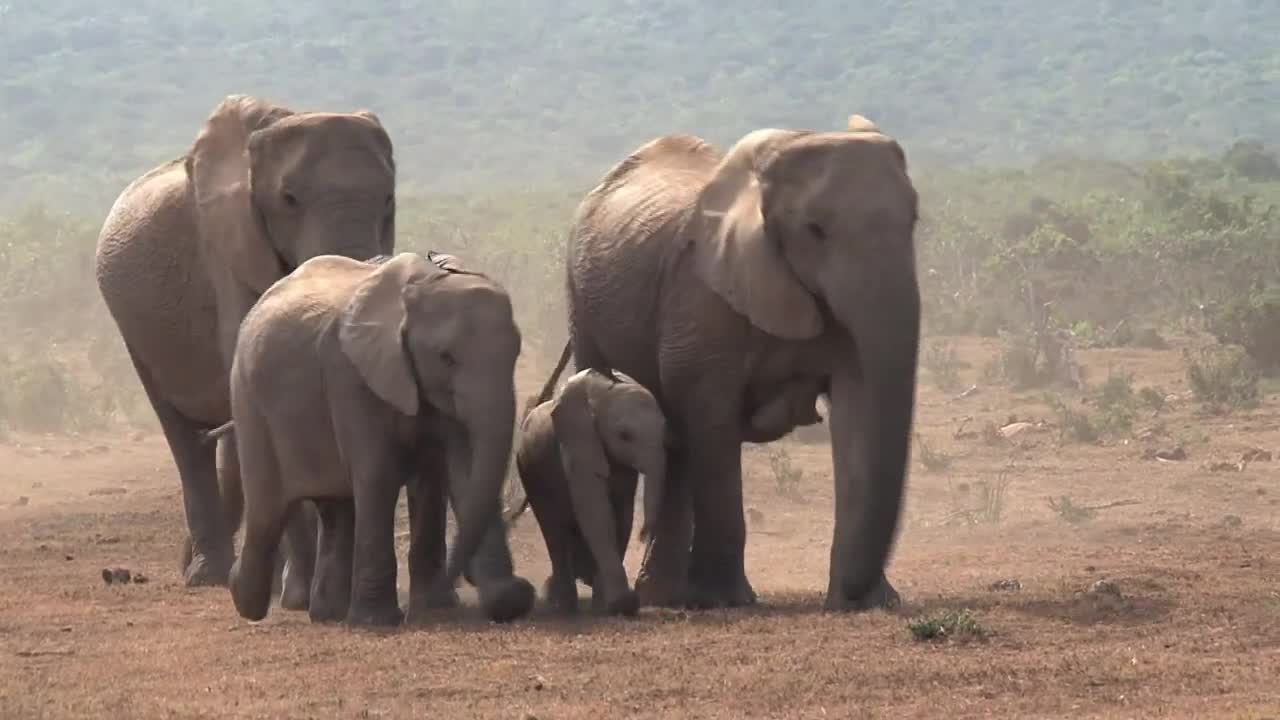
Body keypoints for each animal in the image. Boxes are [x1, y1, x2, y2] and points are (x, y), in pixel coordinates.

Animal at [217, 250, 535, 626]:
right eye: (446, 357)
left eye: (516, 352)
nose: (458, 579)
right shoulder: (350, 375)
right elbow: (378, 474)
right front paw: (377, 622)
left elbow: (462, 470)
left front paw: (501, 601)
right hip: (247, 401)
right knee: (268, 510)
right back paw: (245, 597)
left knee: (336, 509)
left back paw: (327, 614)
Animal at [510, 368, 669, 617]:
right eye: (624, 435)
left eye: (664, 430)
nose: (643, 536)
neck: (603, 394)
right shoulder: (577, 445)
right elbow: (596, 510)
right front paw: (621, 604)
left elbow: (622, 515)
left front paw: (605, 605)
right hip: (530, 473)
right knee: (553, 532)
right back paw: (563, 607)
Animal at [535, 114, 921, 611]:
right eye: (815, 230)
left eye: (914, 221)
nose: (855, 593)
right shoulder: (702, 298)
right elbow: (709, 414)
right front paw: (725, 599)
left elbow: (858, 406)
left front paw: (868, 602)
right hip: (579, 297)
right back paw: (669, 595)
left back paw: (665, 593)